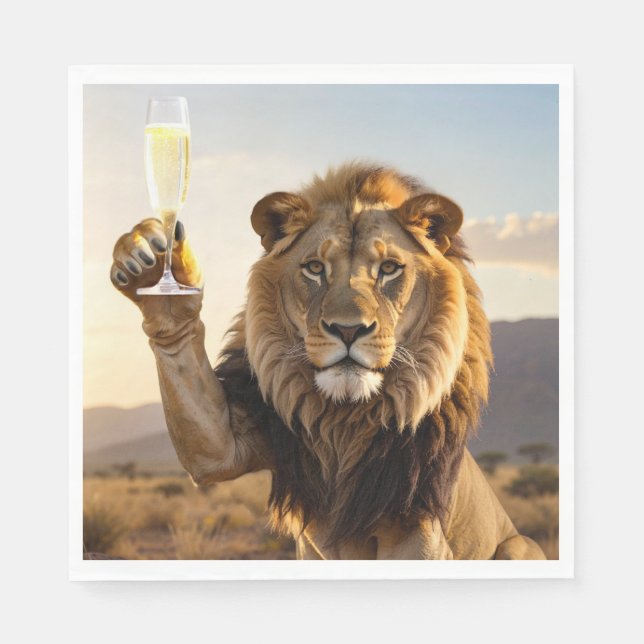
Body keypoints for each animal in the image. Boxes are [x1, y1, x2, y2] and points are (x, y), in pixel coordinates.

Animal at [110, 162, 546, 560]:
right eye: (315, 268)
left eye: (389, 269)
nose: (348, 330)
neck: (345, 418)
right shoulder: (238, 437)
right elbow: (210, 443)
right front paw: (149, 264)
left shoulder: (416, 521)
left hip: (520, 545)